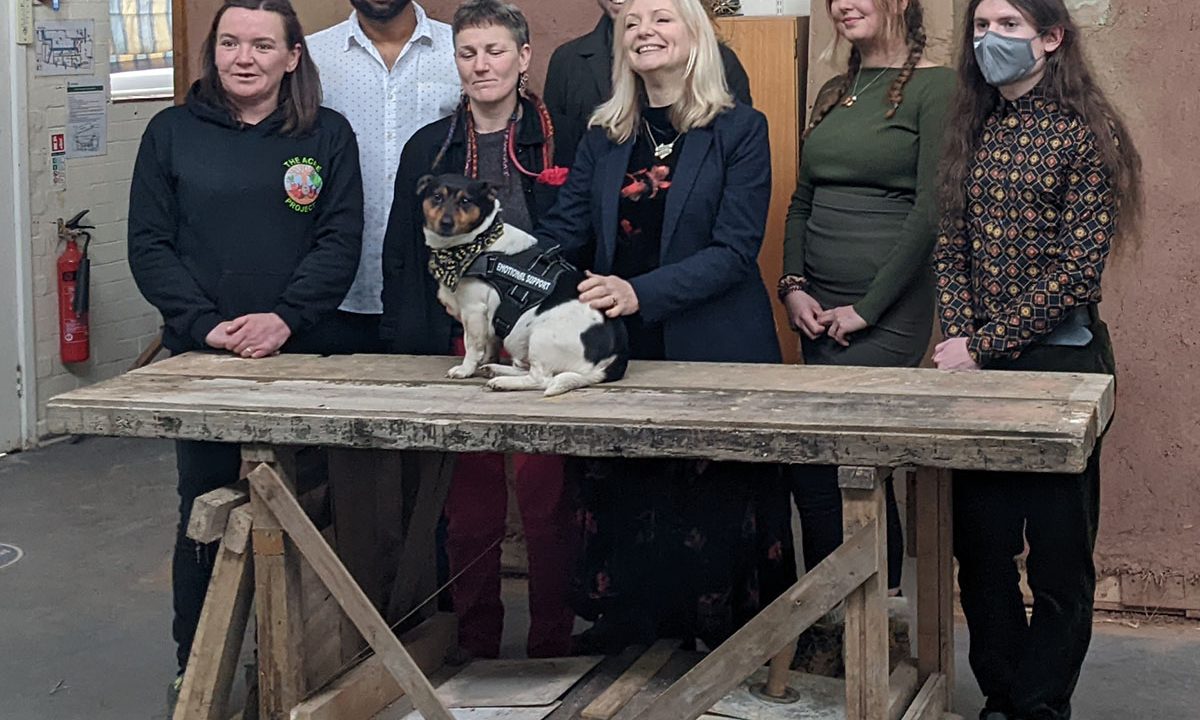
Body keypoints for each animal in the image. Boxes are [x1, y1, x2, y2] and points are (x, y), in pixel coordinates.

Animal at [420, 175, 628, 398]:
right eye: (437, 197)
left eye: (465, 201)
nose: (446, 222)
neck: (480, 242)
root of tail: (615, 358)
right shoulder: (489, 319)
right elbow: (490, 343)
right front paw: (487, 361)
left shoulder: (474, 311)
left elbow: (473, 345)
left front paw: (465, 369)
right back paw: (496, 369)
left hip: (541, 337)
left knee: (541, 379)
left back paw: (503, 382)